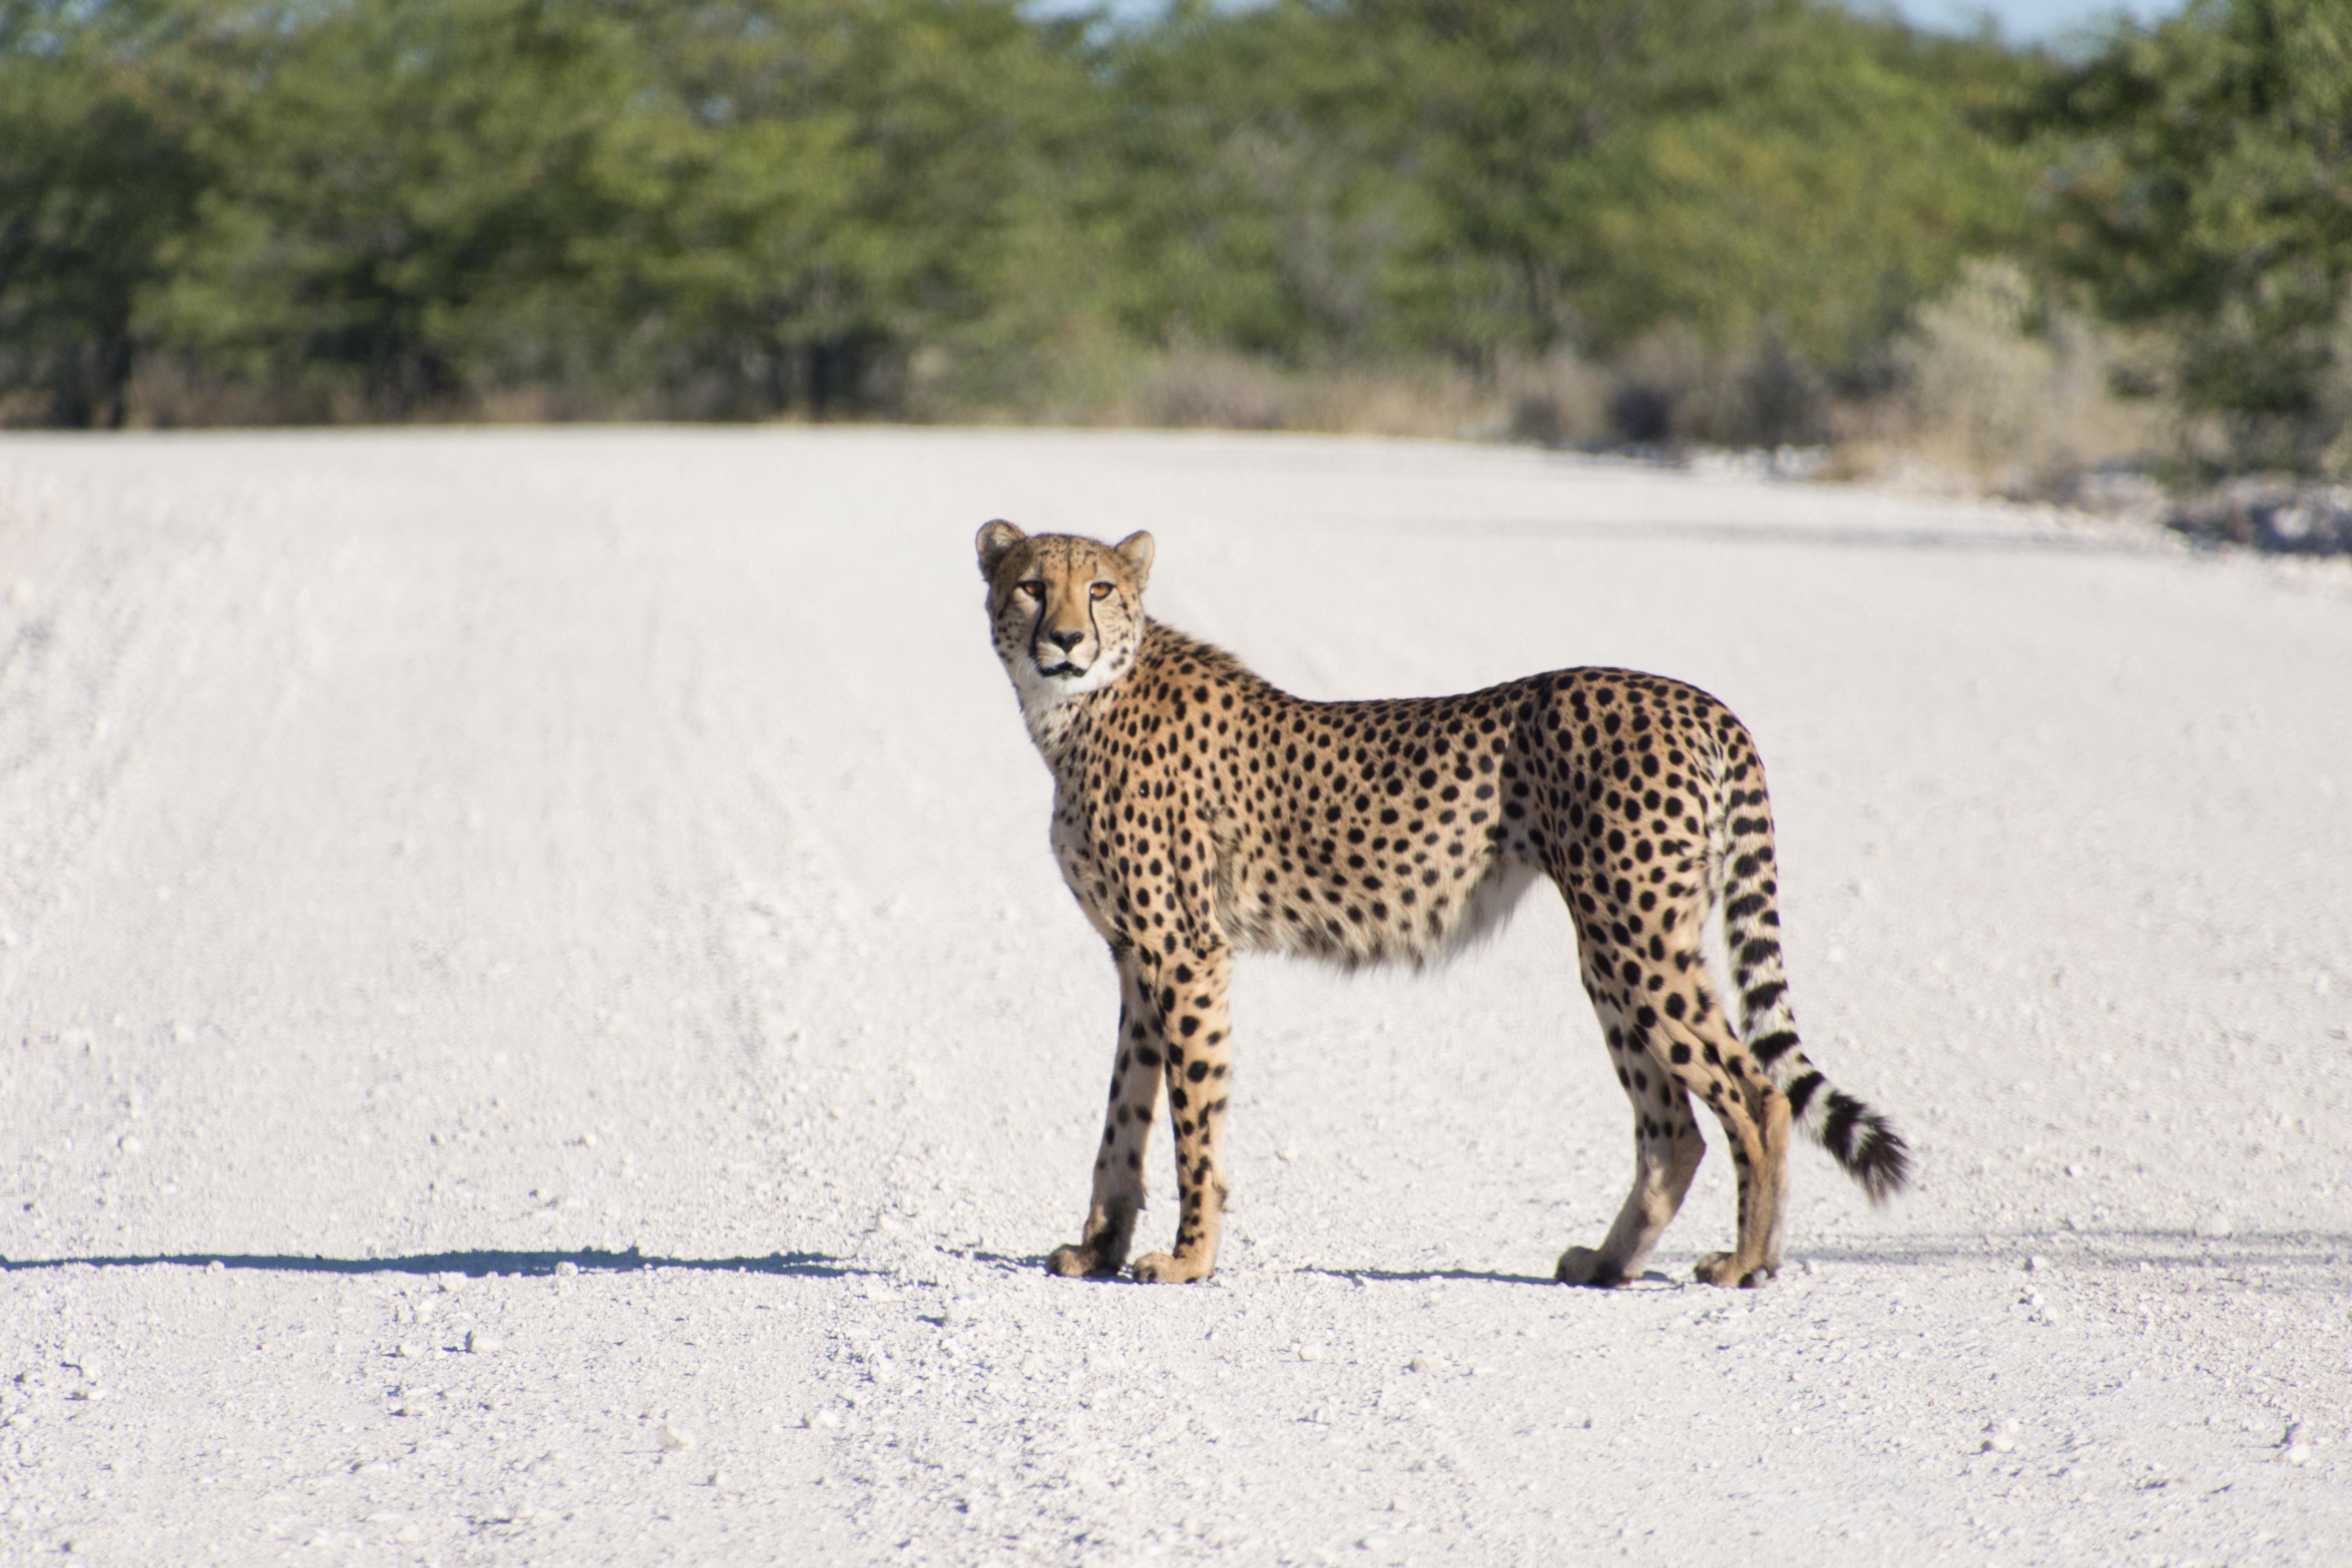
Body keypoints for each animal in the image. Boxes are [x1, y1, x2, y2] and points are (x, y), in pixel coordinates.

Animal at [976, 520, 1908, 1288]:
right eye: (1033, 585)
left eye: (1101, 589)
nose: (1066, 638)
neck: (1078, 710)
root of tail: (1698, 700)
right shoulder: (1137, 955)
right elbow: (1124, 1114)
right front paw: (1097, 1247)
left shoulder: (1184, 952)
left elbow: (1191, 1118)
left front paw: (1189, 1258)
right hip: (1615, 949)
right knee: (1672, 1126)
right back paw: (1608, 1264)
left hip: (1633, 937)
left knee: (1754, 1093)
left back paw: (1749, 1261)